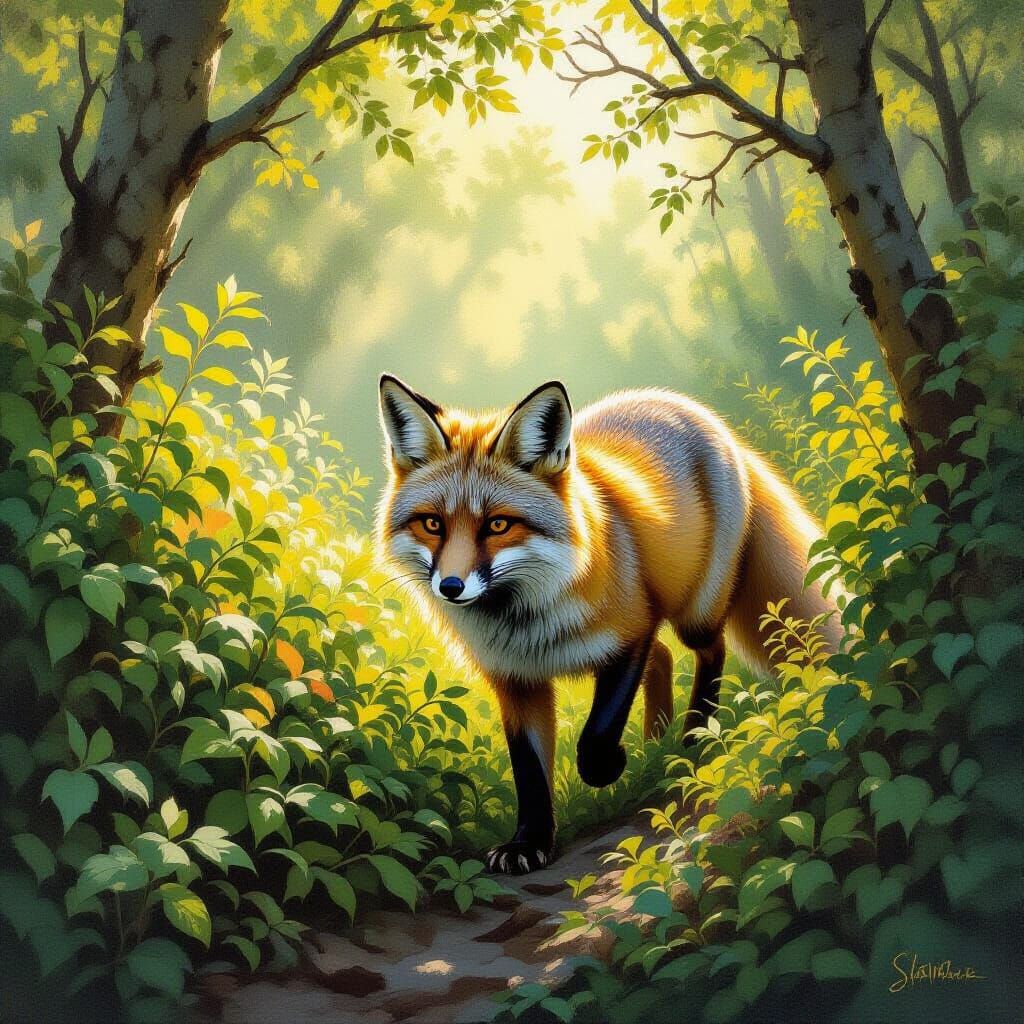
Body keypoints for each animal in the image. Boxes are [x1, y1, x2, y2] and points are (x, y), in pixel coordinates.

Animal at [375, 375, 841, 874]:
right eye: (432, 524)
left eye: (498, 525)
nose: (451, 586)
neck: (525, 625)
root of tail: (688, 407)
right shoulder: (515, 680)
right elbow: (529, 772)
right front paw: (529, 844)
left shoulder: (630, 632)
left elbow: (596, 737)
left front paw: (610, 767)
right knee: (665, 657)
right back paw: (655, 741)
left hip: (695, 612)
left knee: (709, 651)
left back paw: (694, 735)